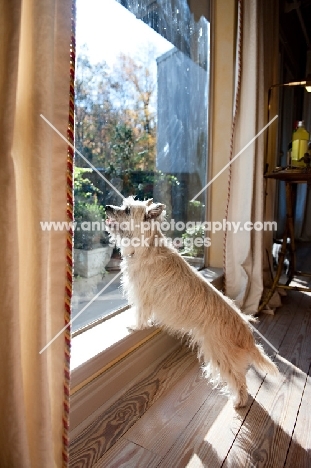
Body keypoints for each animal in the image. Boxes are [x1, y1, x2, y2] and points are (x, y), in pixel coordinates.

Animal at [106, 196, 280, 408]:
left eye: (127, 210)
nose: (107, 207)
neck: (147, 246)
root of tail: (245, 330)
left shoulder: (142, 295)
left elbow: (140, 313)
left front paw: (135, 327)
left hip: (220, 354)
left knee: (238, 380)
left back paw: (238, 401)